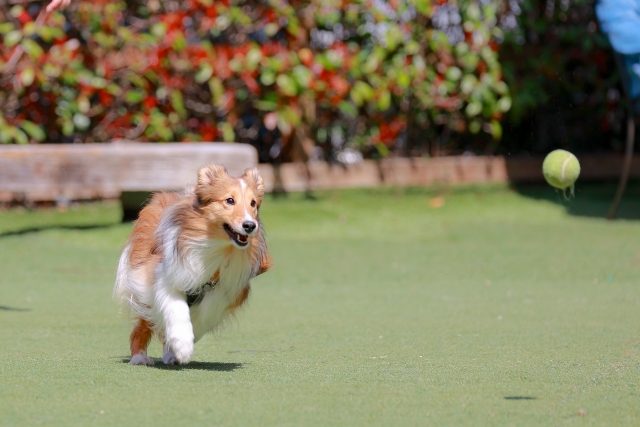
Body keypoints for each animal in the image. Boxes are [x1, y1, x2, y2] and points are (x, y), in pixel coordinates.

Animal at [115, 166, 270, 366]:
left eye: (253, 203)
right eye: (230, 200)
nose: (250, 225)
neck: (218, 249)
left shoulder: (226, 290)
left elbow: (206, 314)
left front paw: (178, 344)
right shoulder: (162, 276)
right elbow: (177, 309)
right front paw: (182, 345)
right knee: (142, 325)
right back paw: (139, 357)